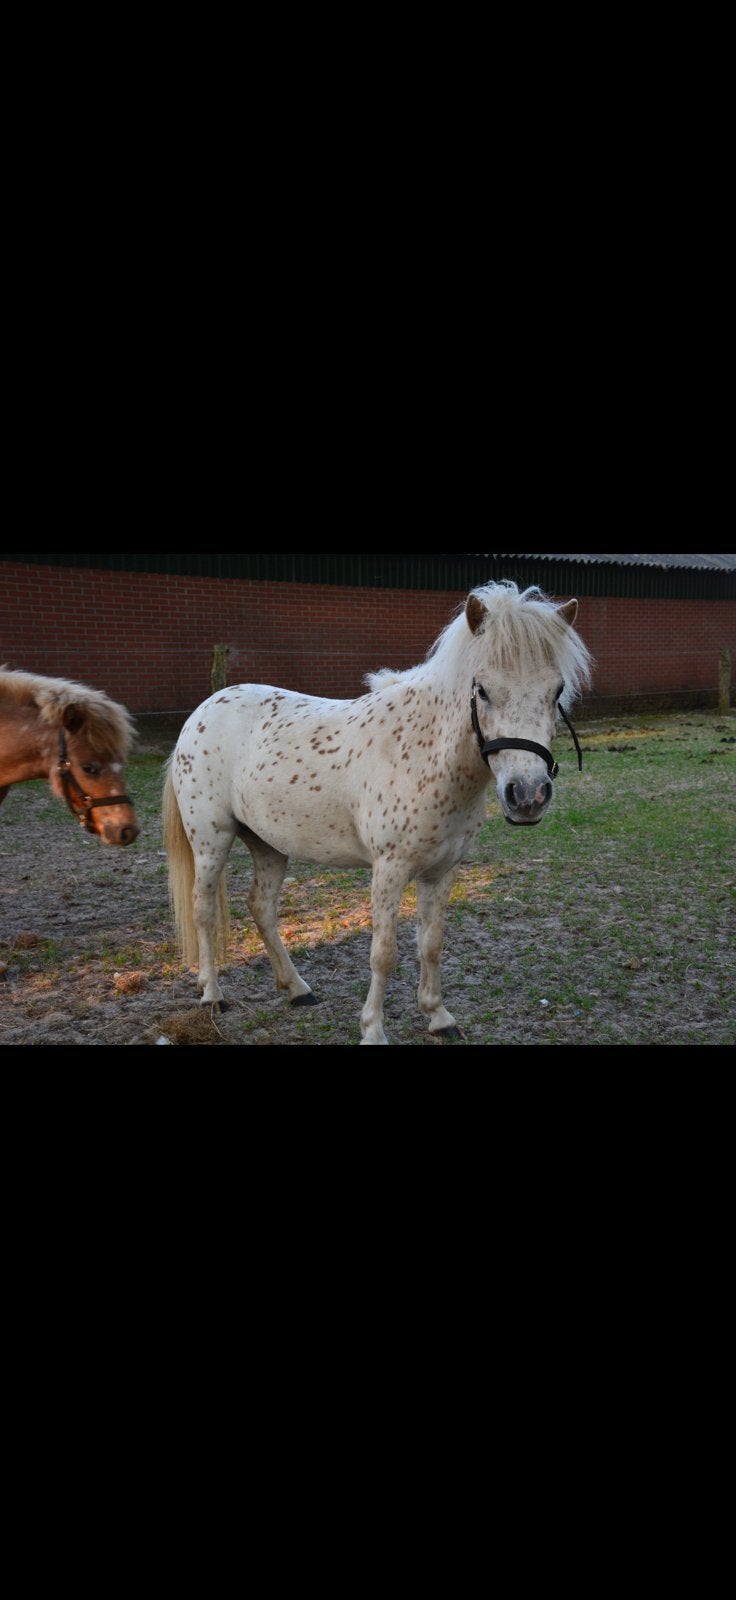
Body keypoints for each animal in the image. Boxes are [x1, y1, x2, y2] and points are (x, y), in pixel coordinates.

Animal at [162, 580, 593, 1044]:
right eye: (482, 690)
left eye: (556, 691)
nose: (528, 795)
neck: (425, 755)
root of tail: (205, 708)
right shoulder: (389, 869)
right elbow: (384, 953)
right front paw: (373, 1029)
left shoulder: (441, 871)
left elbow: (431, 943)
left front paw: (439, 1016)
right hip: (211, 840)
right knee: (203, 910)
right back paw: (212, 994)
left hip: (269, 845)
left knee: (261, 908)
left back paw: (297, 989)